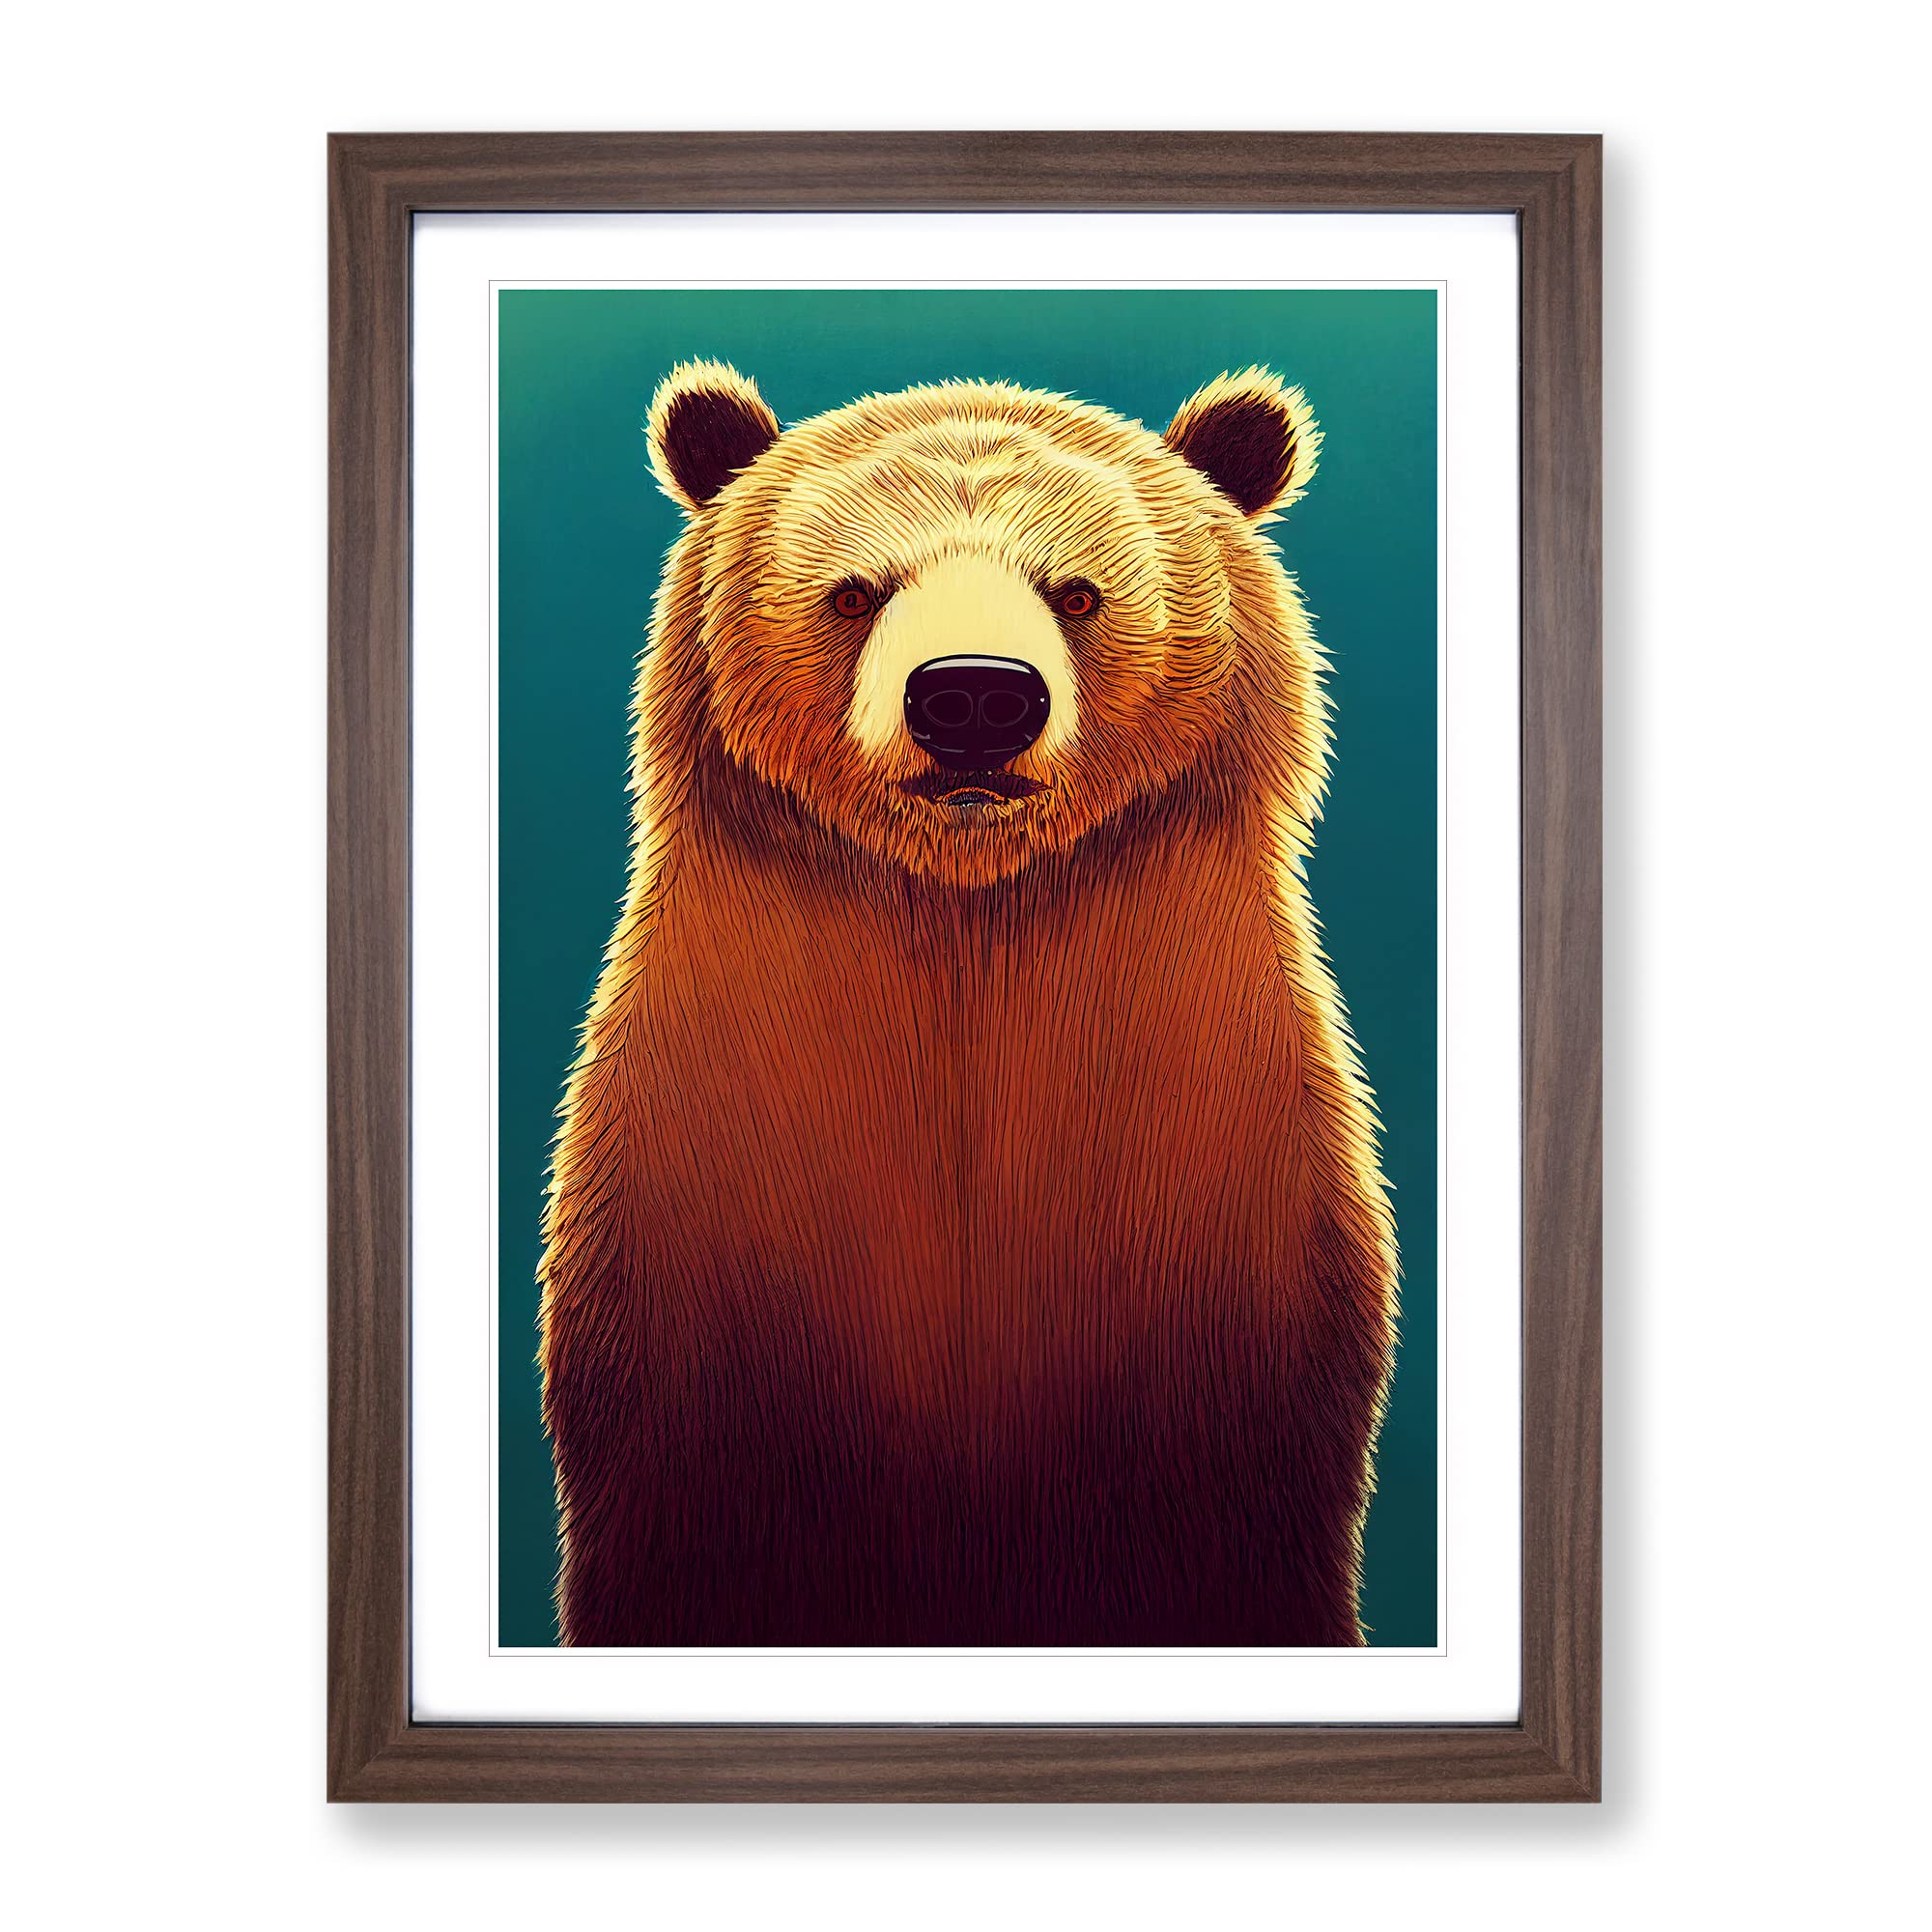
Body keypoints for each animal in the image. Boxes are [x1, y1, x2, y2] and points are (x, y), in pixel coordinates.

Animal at [537, 361, 1398, 1648]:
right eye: (853, 590)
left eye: (1078, 589)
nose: (975, 700)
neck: (966, 928)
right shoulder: (703, 1201)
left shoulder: (1223, 1190)